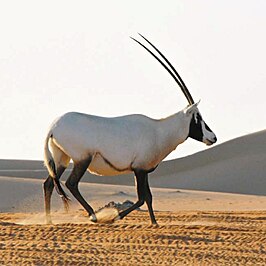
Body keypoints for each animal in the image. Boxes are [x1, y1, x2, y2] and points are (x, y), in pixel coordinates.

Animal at [43, 33, 216, 224]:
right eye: (198, 117)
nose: (213, 137)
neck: (160, 130)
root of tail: (53, 127)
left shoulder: (144, 170)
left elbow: (149, 197)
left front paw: (154, 222)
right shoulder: (139, 169)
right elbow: (141, 198)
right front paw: (116, 216)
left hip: (61, 159)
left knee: (49, 183)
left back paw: (49, 221)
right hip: (82, 159)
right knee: (71, 183)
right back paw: (93, 215)